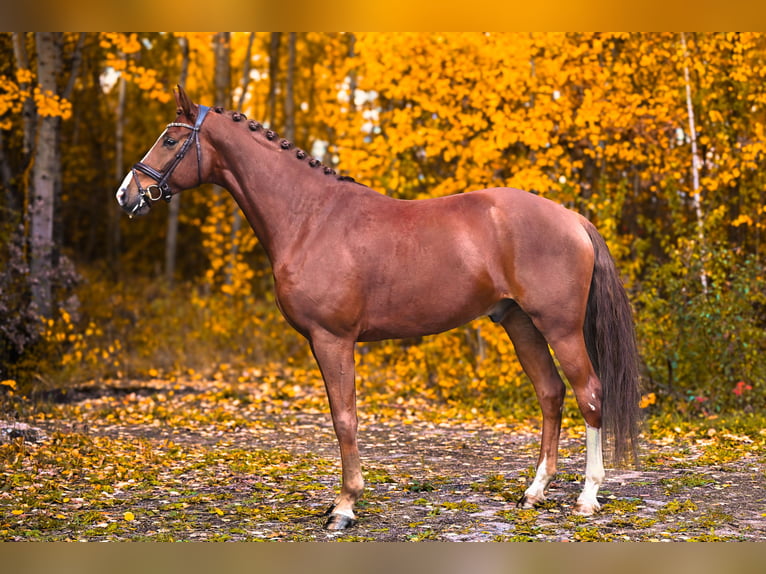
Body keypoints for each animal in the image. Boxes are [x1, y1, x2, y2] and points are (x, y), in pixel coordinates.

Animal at [116, 86, 640, 530]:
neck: (310, 217)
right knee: (551, 394)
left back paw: (587, 498)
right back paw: (534, 492)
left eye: (169, 139)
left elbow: (344, 418)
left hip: (560, 328)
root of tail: (571, 217)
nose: (127, 194)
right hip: (522, 324)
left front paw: (345, 507)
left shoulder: (333, 339)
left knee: (590, 395)